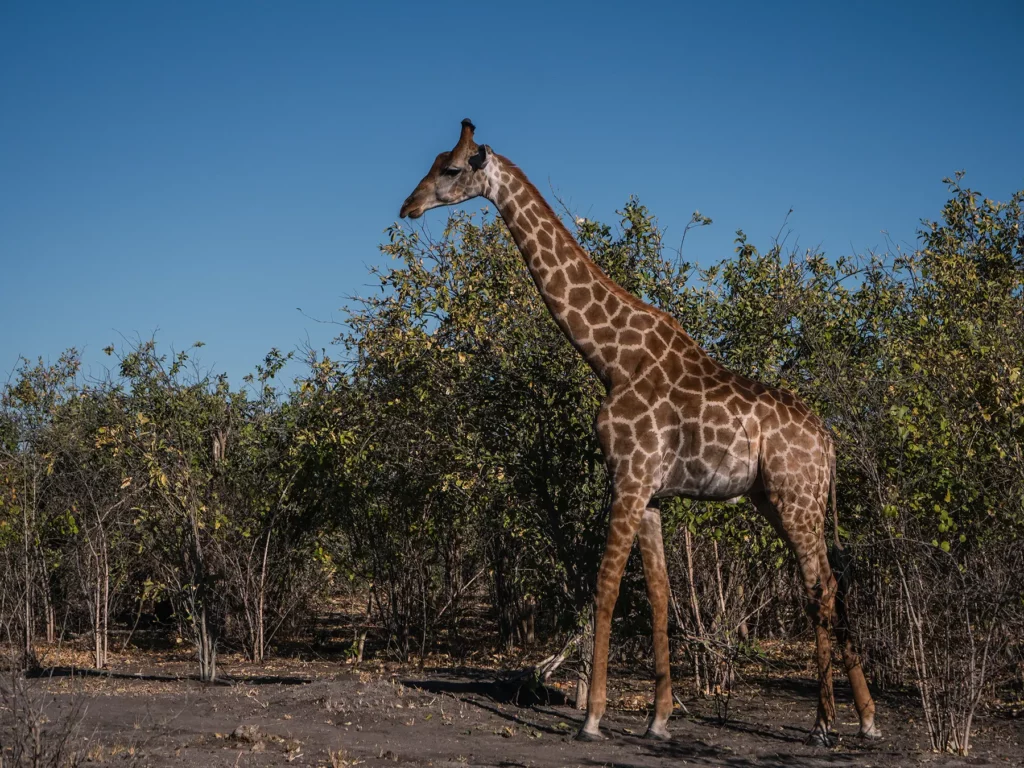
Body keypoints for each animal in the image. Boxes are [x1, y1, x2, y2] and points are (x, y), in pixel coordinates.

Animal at [399, 119, 881, 746]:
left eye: (451, 169)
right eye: (433, 162)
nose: (408, 206)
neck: (610, 358)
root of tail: (828, 442)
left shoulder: (627, 479)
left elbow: (604, 589)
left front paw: (593, 717)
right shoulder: (650, 493)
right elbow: (657, 595)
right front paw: (658, 719)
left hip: (796, 497)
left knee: (820, 586)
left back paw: (825, 722)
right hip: (778, 498)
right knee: (830, 583)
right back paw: (866, 719)